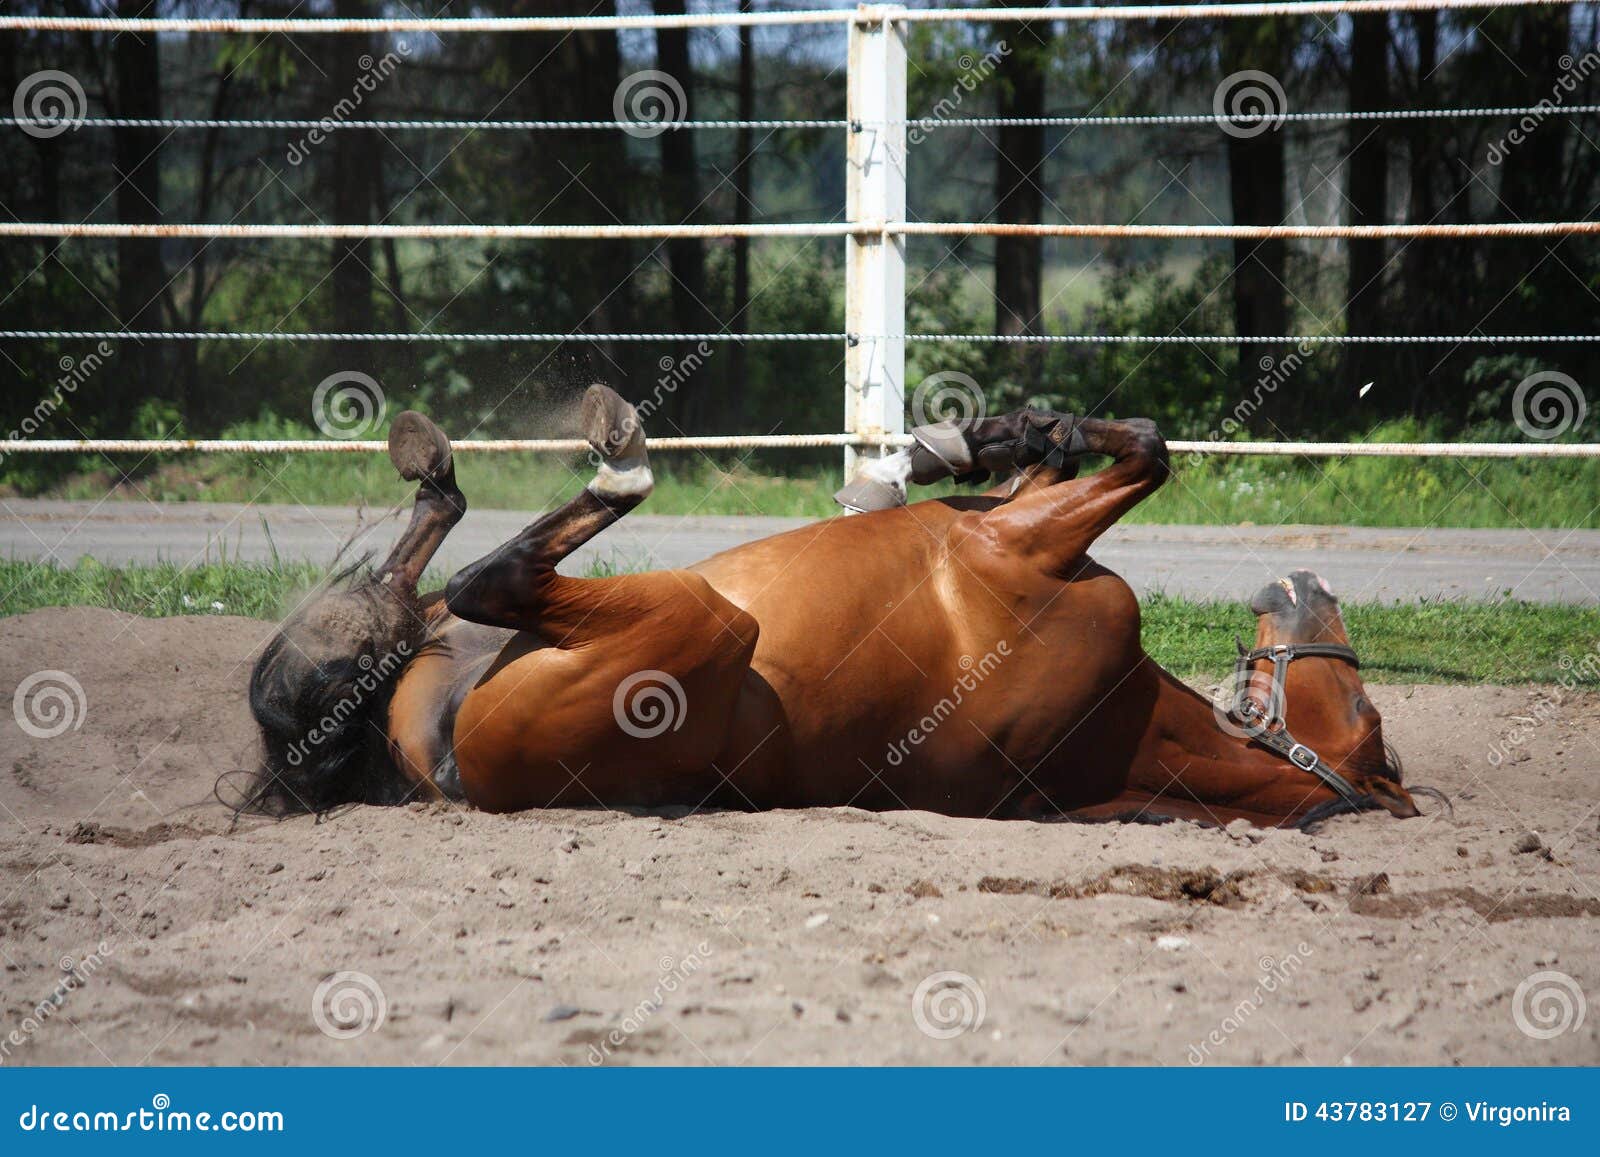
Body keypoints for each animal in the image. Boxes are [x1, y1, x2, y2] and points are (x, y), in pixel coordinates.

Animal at [244, 385, 1425, 829]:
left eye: (1371, 723)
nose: (1314, 587)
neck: (1109, 730)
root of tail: (448, 772)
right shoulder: (1015, 526)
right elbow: (1085, 453)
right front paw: (978, 436)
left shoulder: (1018, 543)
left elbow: (1145, 448)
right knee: (417, 599)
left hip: (700, 619)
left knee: (477, 581)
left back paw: (603, 459)